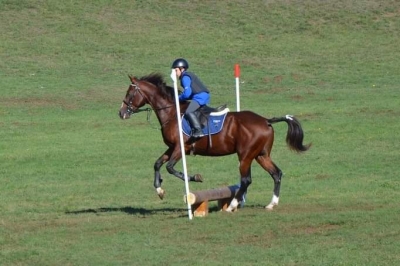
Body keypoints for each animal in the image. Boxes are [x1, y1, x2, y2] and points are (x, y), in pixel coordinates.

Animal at [117, 72, 310, 212]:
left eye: (130, 93)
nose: (121, 113)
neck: (172, 112)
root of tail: (265, 120)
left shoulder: (181, 147)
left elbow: (170, 168)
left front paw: (194, 178)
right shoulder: (172, 147)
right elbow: (157, 164)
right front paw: (160, 190)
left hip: (245, 156)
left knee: (246, 180)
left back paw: (232, 206)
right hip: (261, 155)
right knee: (276, 174)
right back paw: (271, 204)